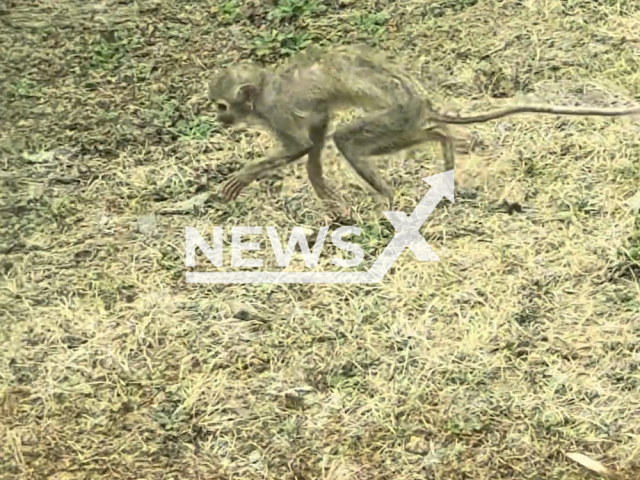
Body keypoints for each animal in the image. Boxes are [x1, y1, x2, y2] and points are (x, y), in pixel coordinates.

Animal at [208, 44, 640, 204]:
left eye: (222, 105)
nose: (220, 118)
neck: (264, 91)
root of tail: (422, 101)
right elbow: (316, 131)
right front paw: (321, 186)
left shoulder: (275, 111)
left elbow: (301, 144)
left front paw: (242, 176)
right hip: (403, 123)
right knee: (420, 133)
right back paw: (444, 141)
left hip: (394, 117)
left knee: (349, 139)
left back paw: (391, 195)